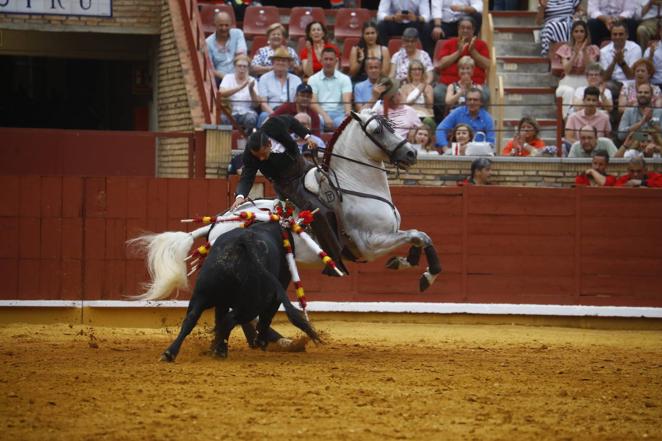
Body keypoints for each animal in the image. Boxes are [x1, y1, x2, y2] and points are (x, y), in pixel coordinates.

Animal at [132, 111, 444, 300]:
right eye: (377, 130)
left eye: (390, 126)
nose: (411, 153)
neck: (355, 186)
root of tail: (218, 224)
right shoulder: (370, 244)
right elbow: (421, 235)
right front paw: (427, 275)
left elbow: (420, 236)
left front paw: (406, 262)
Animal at [165, 222, 322, 360]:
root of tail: (244, 241)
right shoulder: (279, 290)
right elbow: (266, 317)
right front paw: (260, 342)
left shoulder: (221, 301)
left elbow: (217, 317)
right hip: (252, 304)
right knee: (231, 320)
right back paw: (222, 350)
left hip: (202, 293)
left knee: (191, 318)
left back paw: (171, 353)